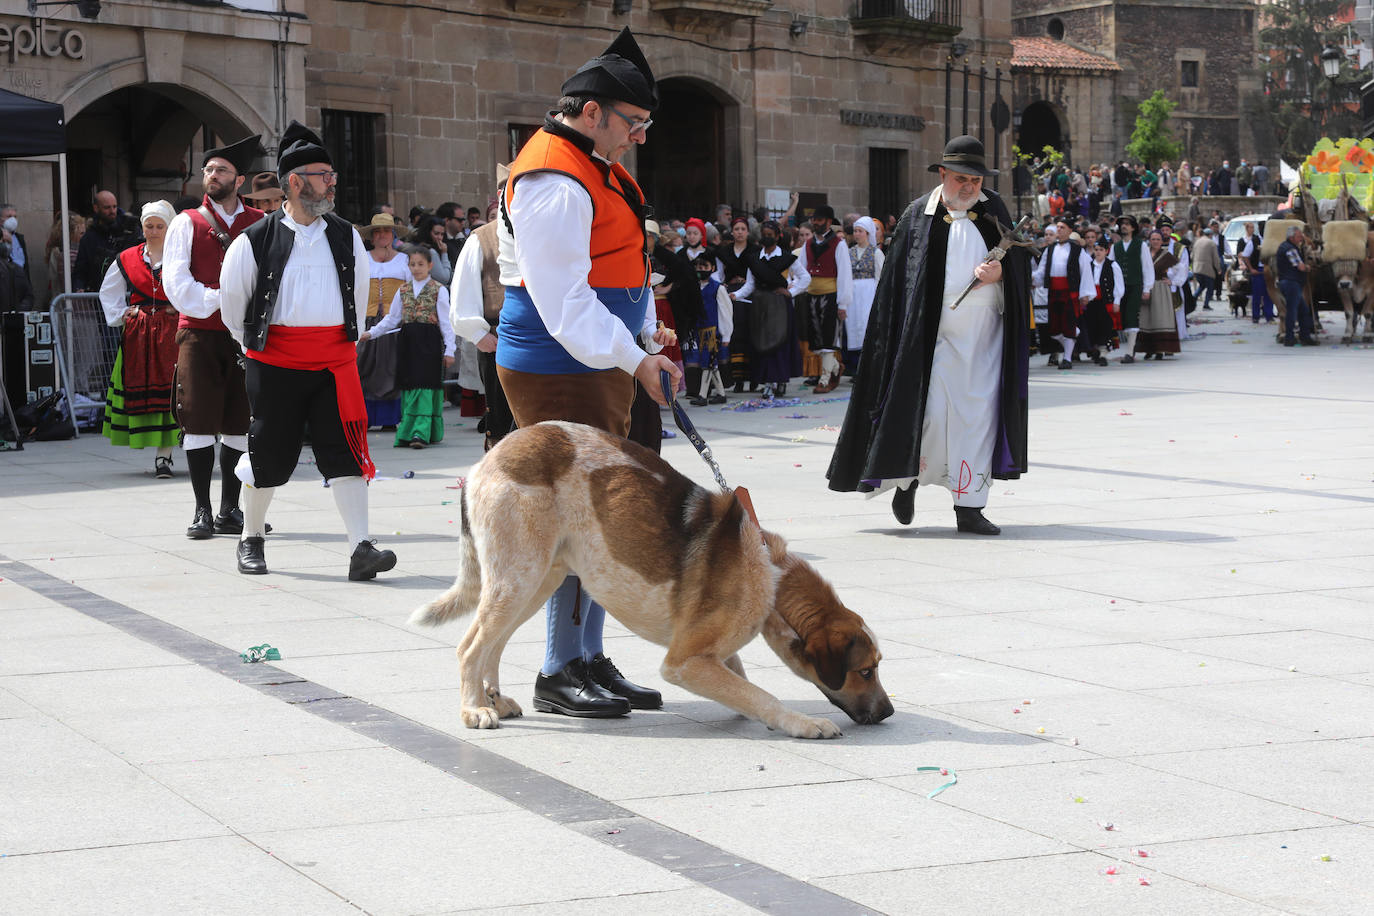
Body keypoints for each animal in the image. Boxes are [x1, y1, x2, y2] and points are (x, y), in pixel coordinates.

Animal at [412, 422, 895, 736]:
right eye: (865, 671)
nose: (889, 712)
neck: (771, 579)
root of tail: (486, 459)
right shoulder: (682, 661)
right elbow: (760, 694)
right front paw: (801, 723)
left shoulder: (706, 652)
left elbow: (742, 682)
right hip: (519, 577)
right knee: (470, 646)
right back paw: (474, 710)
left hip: (536, 580)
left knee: (492, 642)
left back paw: (494, 700)